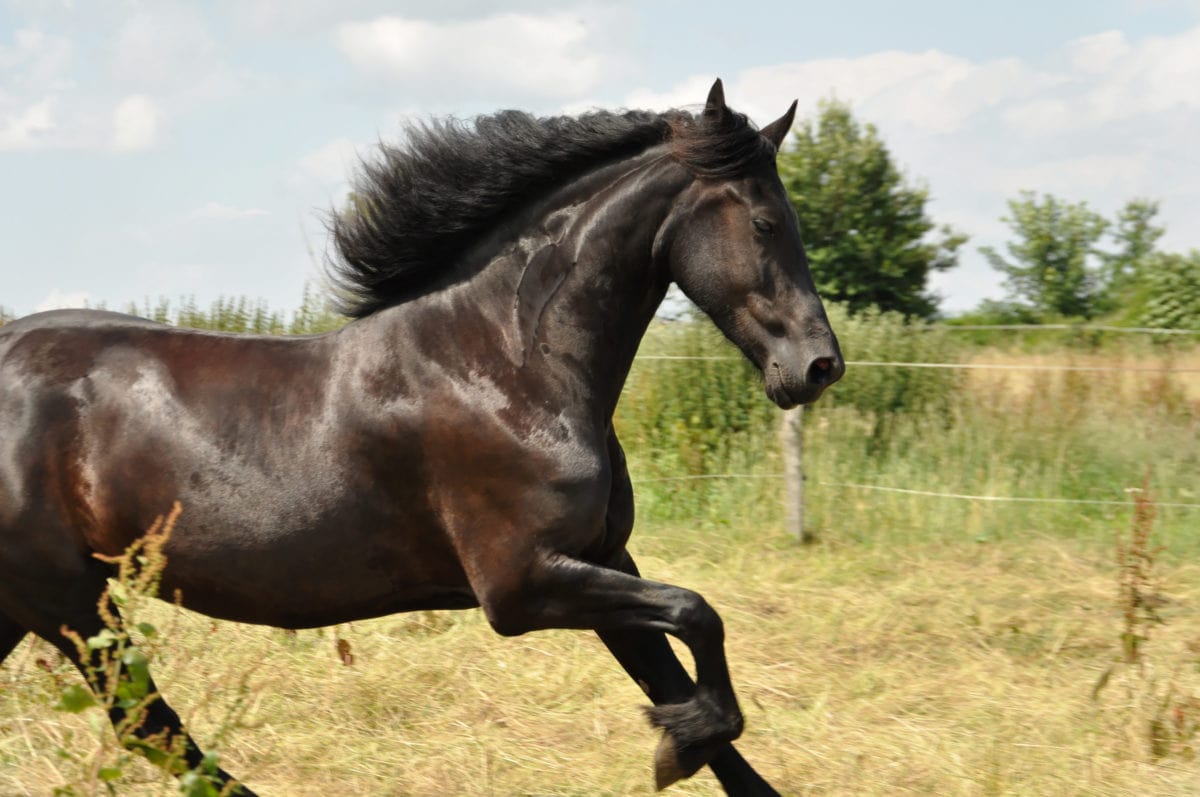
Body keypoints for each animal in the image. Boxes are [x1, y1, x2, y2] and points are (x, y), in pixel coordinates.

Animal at [0, 80, 843, 795]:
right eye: (766, 222)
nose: (818, 365)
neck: (504, 361)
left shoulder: (603, 559)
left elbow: (686, 687)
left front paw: (682, 737)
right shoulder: (521, 583)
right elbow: (700, 617)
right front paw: (678, 743)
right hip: (71, 602)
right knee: (153, 726)